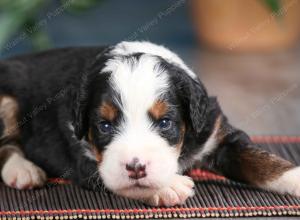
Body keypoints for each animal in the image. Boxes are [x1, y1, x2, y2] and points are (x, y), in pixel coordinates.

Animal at [0, 41, 300, 206]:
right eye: (104, 126)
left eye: (165, 122)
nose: (136, 167)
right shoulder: (82, 155)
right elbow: (122, 182)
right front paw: (168, 186)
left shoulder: (216, 133)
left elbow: (263, 161)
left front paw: (295, 178)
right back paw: (23, 170)